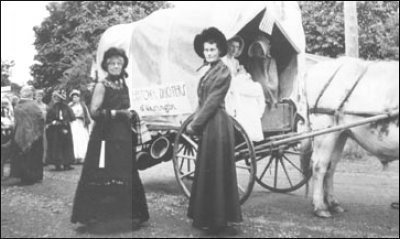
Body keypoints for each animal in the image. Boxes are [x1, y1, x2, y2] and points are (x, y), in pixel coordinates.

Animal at [304, 57, 398, 218]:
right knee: (319, 165)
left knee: (331, 166)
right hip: (325, 131)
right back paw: (320, 207)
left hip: (341, 133)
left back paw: (333, 203)